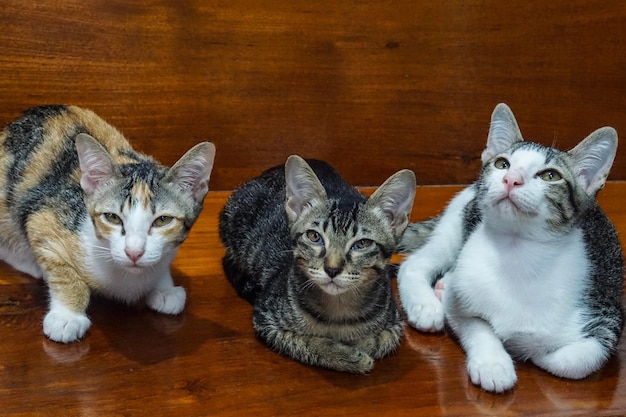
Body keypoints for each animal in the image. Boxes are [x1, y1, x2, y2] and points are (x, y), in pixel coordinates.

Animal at [0, 105, 214, 342]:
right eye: (112, 217)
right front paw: (67, 316)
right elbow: (61, 267)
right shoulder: (46, 215)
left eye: (162, 220)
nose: (133, 252)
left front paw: (164, 288)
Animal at [219, 154, 414, 372]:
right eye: (314, 236)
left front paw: (357, 344)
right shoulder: (266, 318)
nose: (332, 269)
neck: (338, 309)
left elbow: (381, 340)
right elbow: (304, 341)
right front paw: (344, 355)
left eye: (362, 244)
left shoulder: (395, 323)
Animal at [398, 102, 620, 392]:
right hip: (457, 219)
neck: (516, 253)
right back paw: (425, 303)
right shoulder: (461, 303)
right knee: (415, 263)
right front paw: (493, 363)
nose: (511, 179)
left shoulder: (607, 313)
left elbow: (577, 360)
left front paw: (534, 351)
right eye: (503, 164)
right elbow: (474, 324)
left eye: (551, 176)